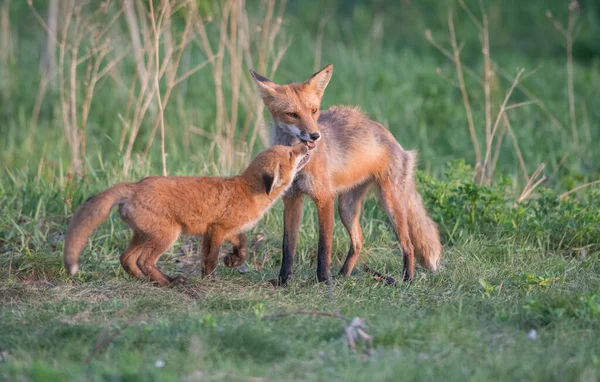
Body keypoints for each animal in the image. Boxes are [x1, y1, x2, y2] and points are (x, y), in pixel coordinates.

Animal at [64, 145, 310, 286]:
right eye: (291, 153)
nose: (307, 142)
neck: (248, 191)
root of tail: (135, 185)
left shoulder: (227, 229)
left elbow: (242, 245)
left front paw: (233, 260)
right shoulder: (216, 230)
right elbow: (210, 259)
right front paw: (210, 279)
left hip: (143, 235)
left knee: (126, 258)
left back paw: (148, 280)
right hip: (167, 235)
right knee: (144, 261)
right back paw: (170, 282)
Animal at [248, 65, 440, 284]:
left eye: (314, 110)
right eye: (292, 114)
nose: (315, 136)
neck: (299, 162)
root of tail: (393, 139)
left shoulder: (325, 198)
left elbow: (324, 246)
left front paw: (324, 281)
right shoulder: (292, 199)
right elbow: (288, 247)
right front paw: (283, 281)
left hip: (390, 204)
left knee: (408, 244)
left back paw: (407, 279)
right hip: (347, 208)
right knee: (359, 241)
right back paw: (344, 275)